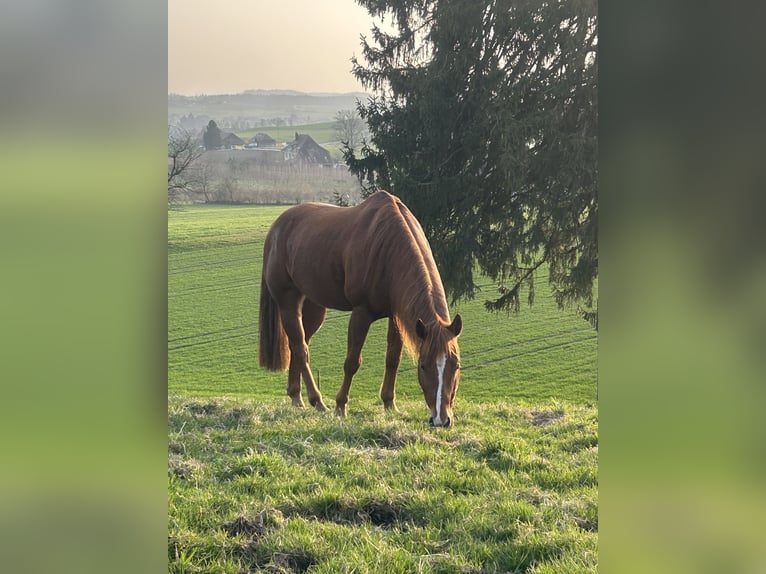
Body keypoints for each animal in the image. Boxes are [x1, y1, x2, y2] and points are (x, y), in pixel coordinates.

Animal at [258, 190, 462, 427]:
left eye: (456, 365)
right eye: (423, 365)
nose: (441, 419)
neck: (388, 247)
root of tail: (276, 228)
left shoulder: (395, 316)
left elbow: (392, 359)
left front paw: (389, 404)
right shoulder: (361, 313)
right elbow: (352, 362)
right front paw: (340, 406)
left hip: (313, 305)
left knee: (298, 344)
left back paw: (296, 397)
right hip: (288, 302)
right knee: (300, 347)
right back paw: (317, 401)